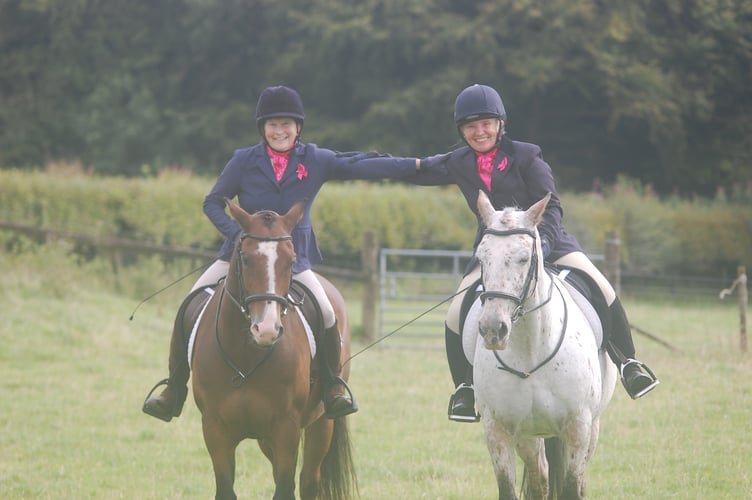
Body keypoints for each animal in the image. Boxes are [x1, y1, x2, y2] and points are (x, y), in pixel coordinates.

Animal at [189, 200, 356, 500]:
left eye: (291, 261)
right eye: (245, 259)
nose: (265, 329)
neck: (246, 354)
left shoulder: (285, 427)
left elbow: (285, 487)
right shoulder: (215, 428)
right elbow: (226, 488)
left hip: (321, 423)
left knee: (308, 480)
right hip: (265, 439)